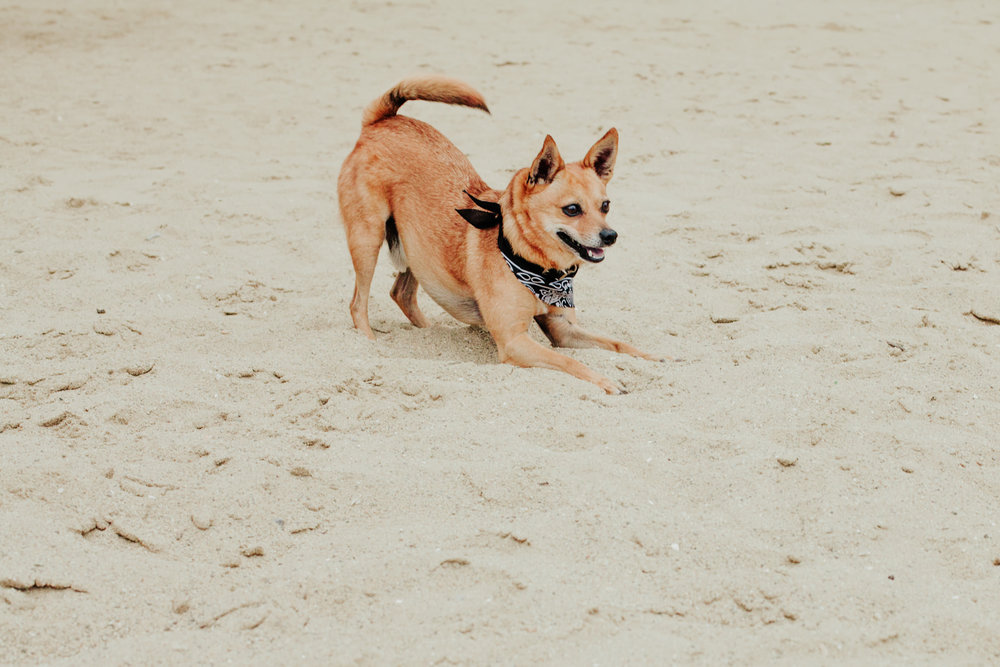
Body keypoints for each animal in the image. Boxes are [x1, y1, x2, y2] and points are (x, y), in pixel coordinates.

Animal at [338, 75, 664, 394]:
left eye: (605, 205)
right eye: (572, 209)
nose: (610, 236)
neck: (535, 263)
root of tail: (383, 121)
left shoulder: (563, 329)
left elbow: (616, 343)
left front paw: (653, 356)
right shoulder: (514, 341)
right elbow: (570, 362)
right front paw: (607, 381)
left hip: (417, 251)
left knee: (402, 294)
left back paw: (432, 333)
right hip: (368, 239)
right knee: (358, 303)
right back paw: (369, 343)